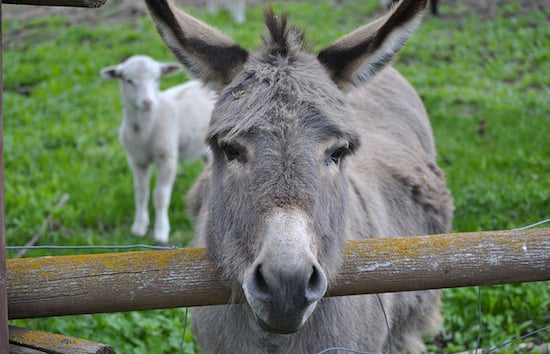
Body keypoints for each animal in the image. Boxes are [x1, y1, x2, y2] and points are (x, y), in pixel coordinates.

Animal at [101, 55, 216, 245]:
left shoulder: (167, 157)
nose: (147, 102)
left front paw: (161, 232)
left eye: (157, 79)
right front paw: (139, 226)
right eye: (129, 80)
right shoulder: (136, 160)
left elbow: (161, 196)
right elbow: (141, 192)